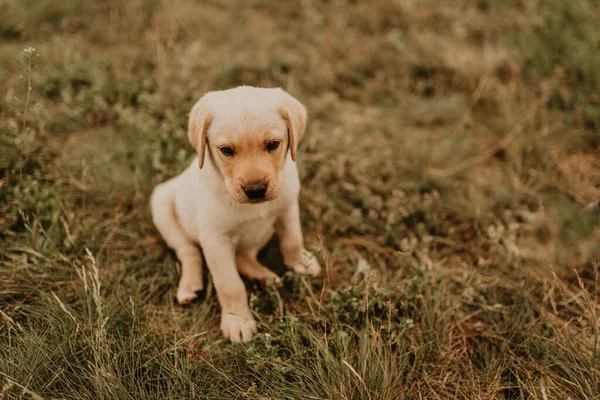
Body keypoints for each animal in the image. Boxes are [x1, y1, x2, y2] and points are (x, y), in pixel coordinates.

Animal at [149, 86, 322, 342]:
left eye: (273, 144)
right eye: (226, 150)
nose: (255, 189)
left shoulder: (288, 206)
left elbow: (292, 239)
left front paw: (300, 261)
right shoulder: (215, 241)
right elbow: (230, 284)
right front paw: (238, 321)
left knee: (242, 256)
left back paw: (265, 277)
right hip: (161, 203)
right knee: (188, 251)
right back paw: (189, 286)